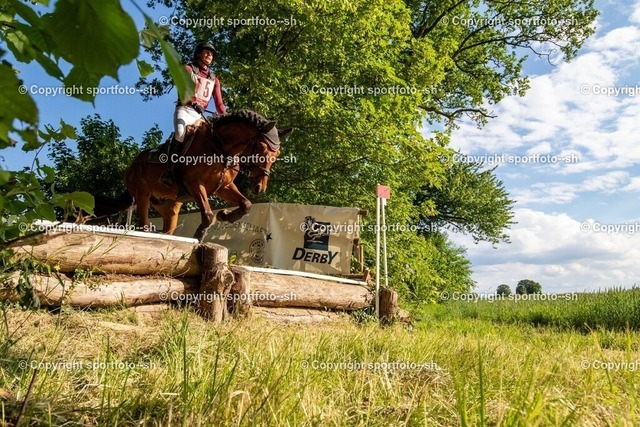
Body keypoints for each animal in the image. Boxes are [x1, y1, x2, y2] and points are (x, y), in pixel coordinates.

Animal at [103, 110, 288, 241]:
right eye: (260, 148)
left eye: (277, 154)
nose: (259, 187)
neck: (221, 149)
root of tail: (133, 164)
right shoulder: (194, 184)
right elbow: (208, 214)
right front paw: (199, 235)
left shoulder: (223, 187)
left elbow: (246, 204)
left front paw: (225, 215)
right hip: (142, 194)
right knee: (145, 224)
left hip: (169, 207)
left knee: (167, 228)